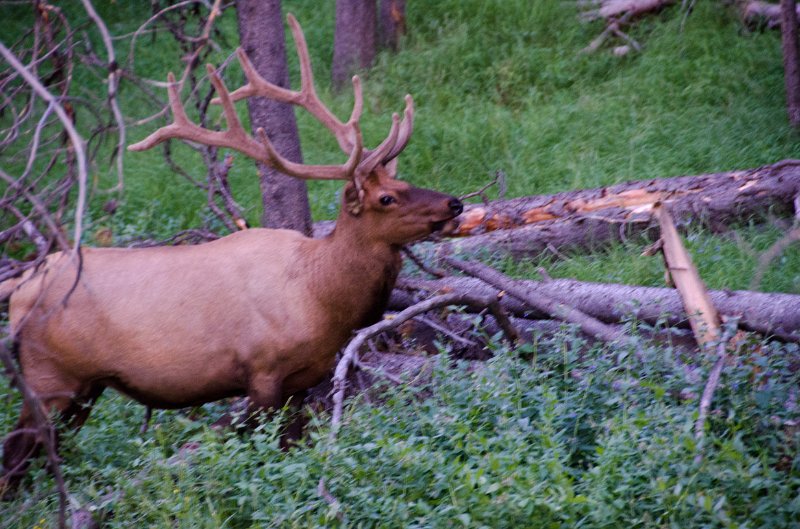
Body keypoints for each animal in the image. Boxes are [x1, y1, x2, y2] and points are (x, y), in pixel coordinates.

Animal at [0, 13, 462, 490]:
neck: (323, 298)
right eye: (386, 198)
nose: (455, 203)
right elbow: (260, 444)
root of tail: (18, 288)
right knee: (14, 456)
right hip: (51, 376)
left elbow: (294, 443)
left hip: (86, 387)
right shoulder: (262, 372)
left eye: (405, 181)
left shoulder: (304, 379)